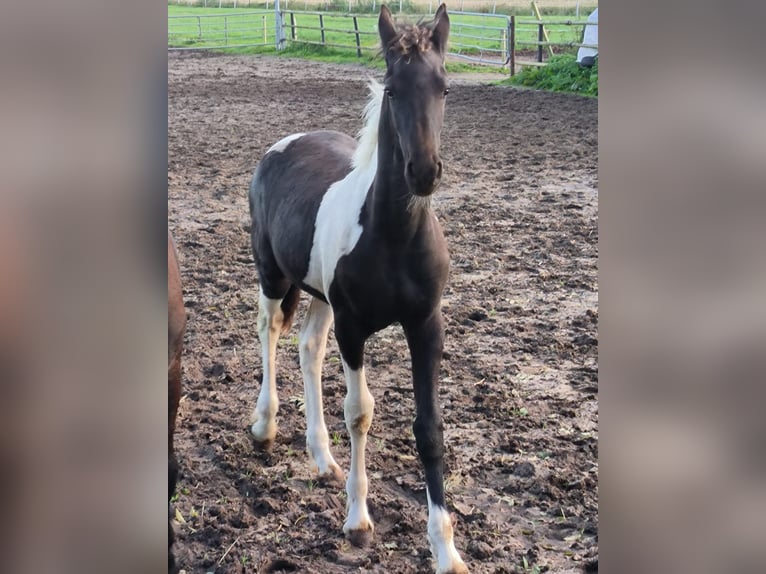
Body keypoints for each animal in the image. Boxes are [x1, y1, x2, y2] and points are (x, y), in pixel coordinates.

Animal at [249, 6, 472, 572]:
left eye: (444, 88)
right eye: (392, 89)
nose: (424, 172)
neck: (393, 236)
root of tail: (283, 144)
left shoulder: (426, 325)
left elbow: (429, 428)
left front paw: (445, 549)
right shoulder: (353, 328)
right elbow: (360, 412)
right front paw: (357, 522)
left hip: (320, 297)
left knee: (307, 348)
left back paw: (322, 458)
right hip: (272, 274)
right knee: (268, 332)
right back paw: (264, 427)